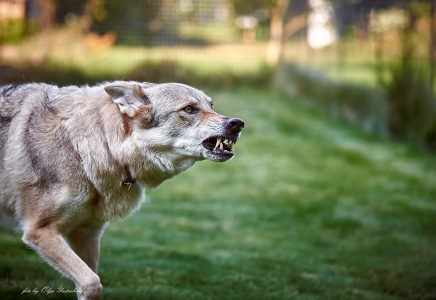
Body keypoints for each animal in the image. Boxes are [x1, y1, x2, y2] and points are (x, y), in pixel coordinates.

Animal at [0, 81, 244, 298]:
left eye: (211, 105)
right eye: (189, 109)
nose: (238, 123)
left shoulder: (87, 234)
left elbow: (89, 283)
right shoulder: (39, 231)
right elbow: (92, 282)